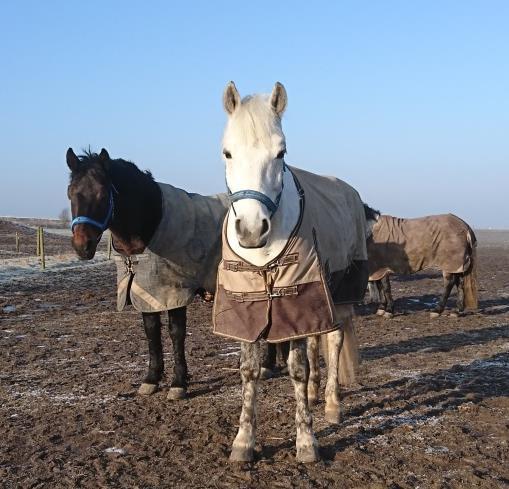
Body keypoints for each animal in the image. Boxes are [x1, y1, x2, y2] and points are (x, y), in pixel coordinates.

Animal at [66, 151, 227, 398]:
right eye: (71, 193)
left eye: (102, 193)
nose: (82, 246)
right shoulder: (145, 291)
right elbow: (151, 332)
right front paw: (151, 379)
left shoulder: (174, 292)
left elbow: (176, 333)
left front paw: (178, 383)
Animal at [212, 81, 368, 462]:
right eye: (227, 153)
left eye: (281, 153)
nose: (252, 230)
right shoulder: (248, 302)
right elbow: (249, 371)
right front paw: (243, 442)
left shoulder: (295, 295)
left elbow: (296, 369)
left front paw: (306, 442)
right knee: (314, 342)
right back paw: (313, 394)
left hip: (340, 291)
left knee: (334, 340)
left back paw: (331, 405)